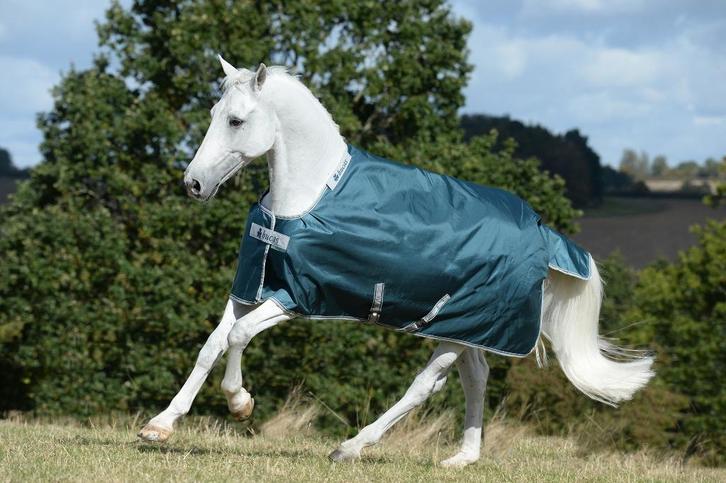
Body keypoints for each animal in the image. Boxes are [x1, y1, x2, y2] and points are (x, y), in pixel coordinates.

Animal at [138, 56, 655, 467]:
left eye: (236, 121)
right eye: (213, 114)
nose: (194, 184)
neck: (306, 197)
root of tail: (543, 235)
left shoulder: (296, 297)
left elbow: (239, 336)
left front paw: (241, 403)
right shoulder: (251, 285)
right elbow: (211, 345)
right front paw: (159, 426)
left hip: (457, 327)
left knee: (425, 386)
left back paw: (350, 447)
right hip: (465, 329)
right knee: (476, 378)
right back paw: (462, 459)